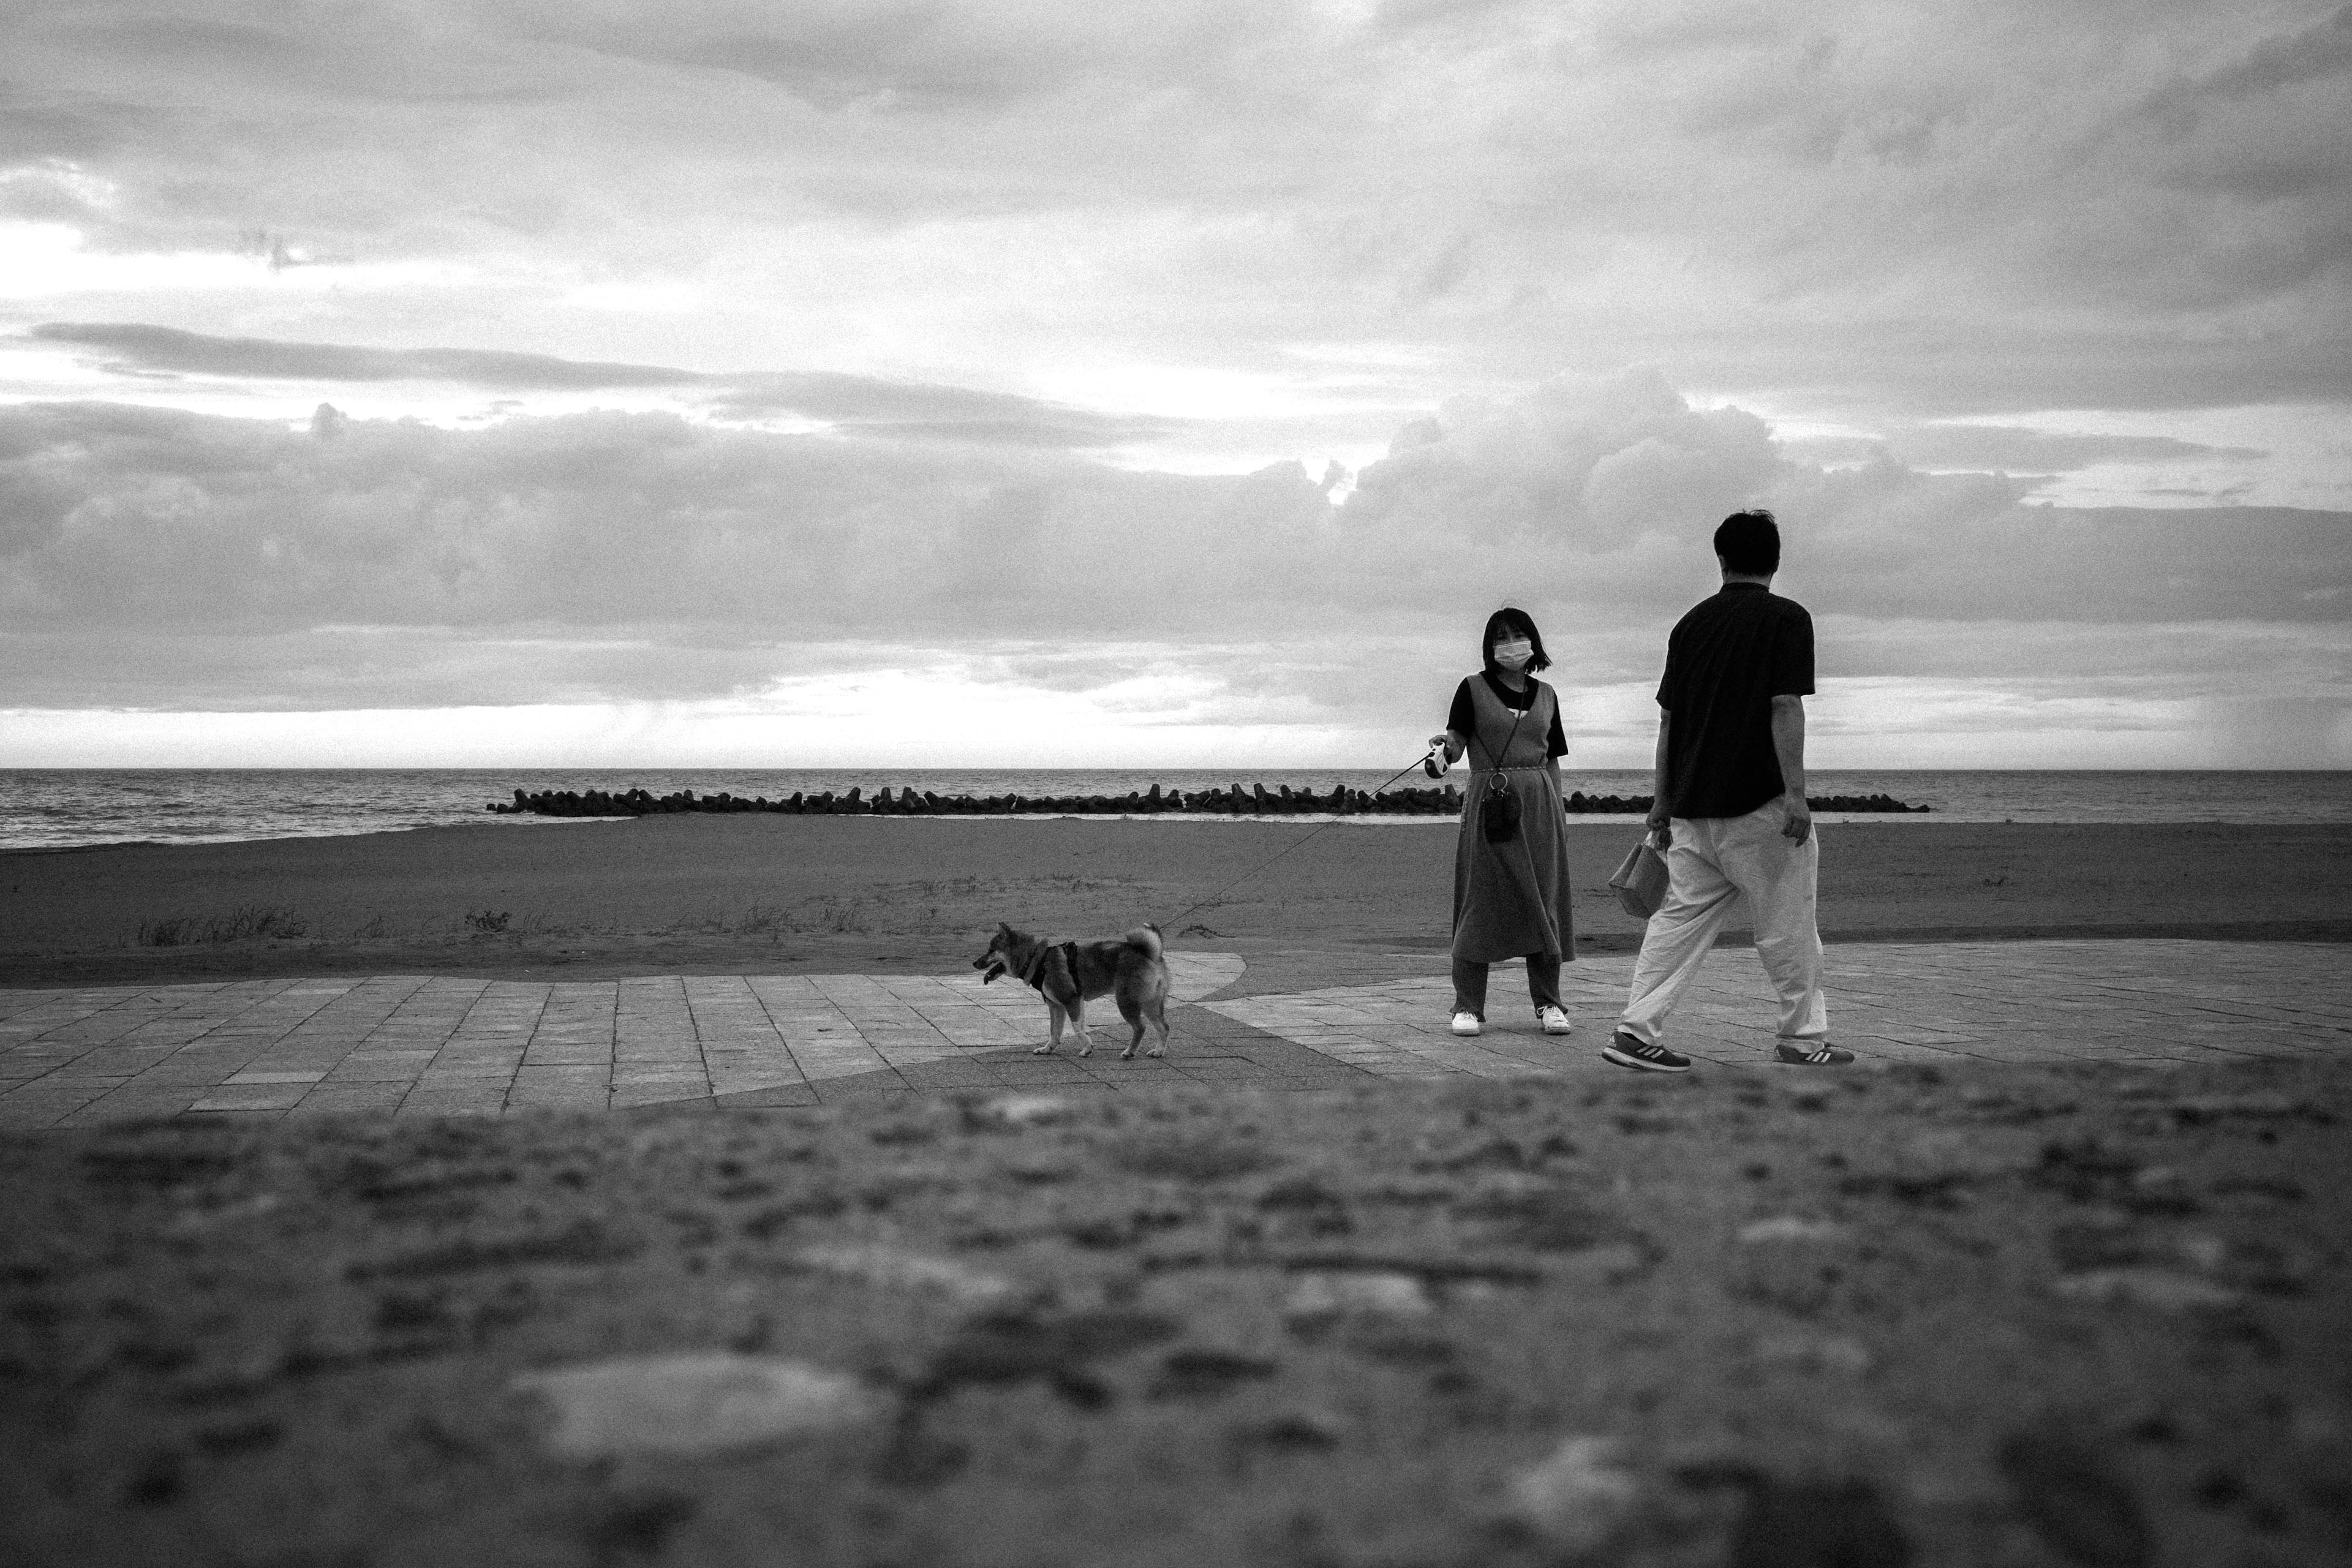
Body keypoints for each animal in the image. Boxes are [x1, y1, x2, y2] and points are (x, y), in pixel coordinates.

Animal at [969, 926, 1171, 1062]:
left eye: (991, 950)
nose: (974, 963)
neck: (1037, 960)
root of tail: (1150, 953)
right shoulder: (1057, 1005)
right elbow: (1055, 1031)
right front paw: (1047, 1049)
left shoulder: (1070, 1000)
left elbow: (1076, 1028)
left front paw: (1087, 1048)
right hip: (1150, 1003)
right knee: (1164, 1027)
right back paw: (1159, 1051)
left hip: (1127, 1002)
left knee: (1141, 1027)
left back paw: (1130, 1052)